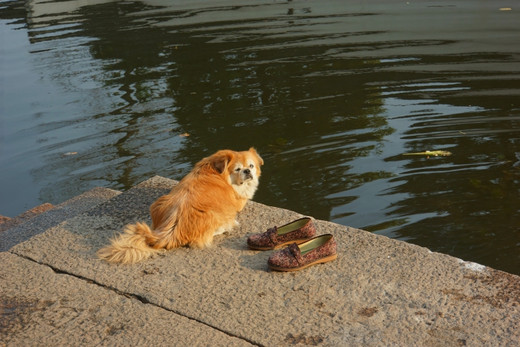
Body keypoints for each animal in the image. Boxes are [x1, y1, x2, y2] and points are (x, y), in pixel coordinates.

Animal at [97, 148, 262, 266]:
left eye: (251, 166)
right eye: (238, 169)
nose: (248, 171)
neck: (217, 170)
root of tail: (169, 232)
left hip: (159, 202)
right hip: (217, 214)